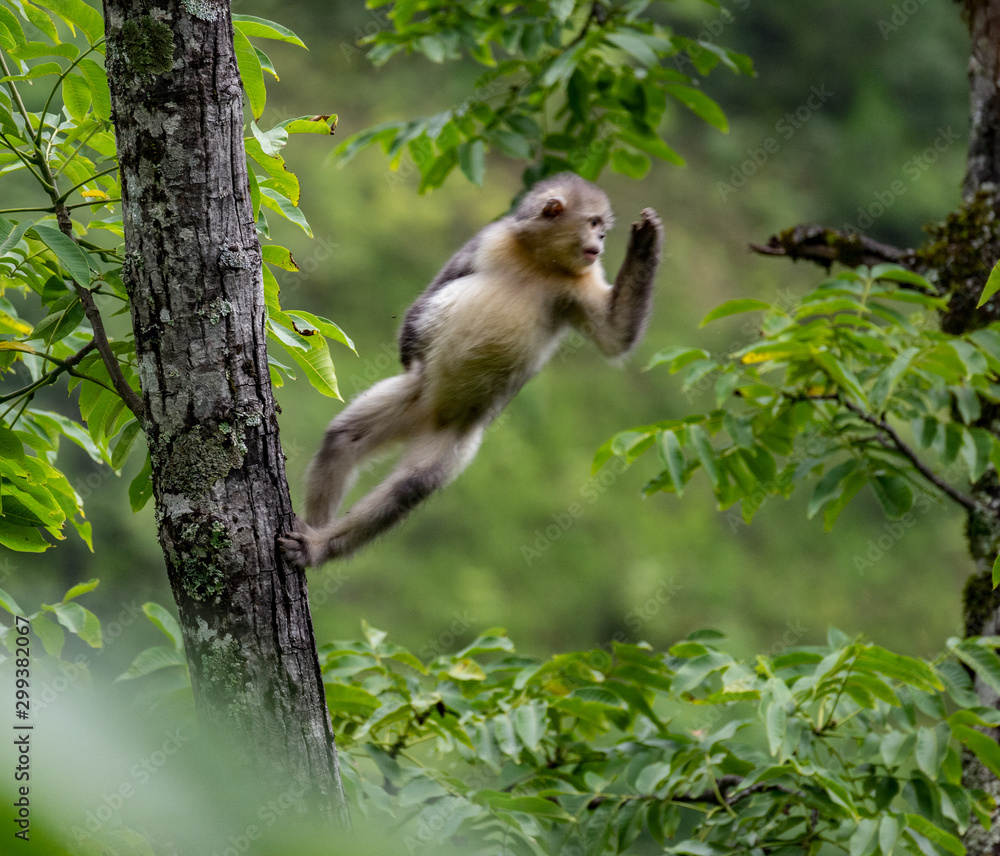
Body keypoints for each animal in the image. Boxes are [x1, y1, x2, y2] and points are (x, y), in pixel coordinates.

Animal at [279, 172, 663, 568]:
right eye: (594, 223)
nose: (600, 241)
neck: (539, 260)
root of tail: (431, 415)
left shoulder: (579, 278)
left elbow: (615, 336)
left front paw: (646, 244)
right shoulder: (493, 238)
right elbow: (437, 291)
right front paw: (409, 351)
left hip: (456, 435)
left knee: (409, 486)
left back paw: (318, 546)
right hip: (415, 397)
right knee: (343, 438)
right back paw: (314, 532)